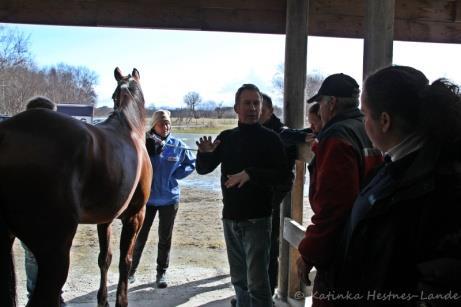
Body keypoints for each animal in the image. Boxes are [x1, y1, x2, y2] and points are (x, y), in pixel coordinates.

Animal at [0, 68, 154, 307]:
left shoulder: (105, 219)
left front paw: (103, 300)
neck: (129, 127)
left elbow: (105, 259)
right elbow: (125, 261)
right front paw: (121, 301)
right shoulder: (136, 215)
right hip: (55, 250)